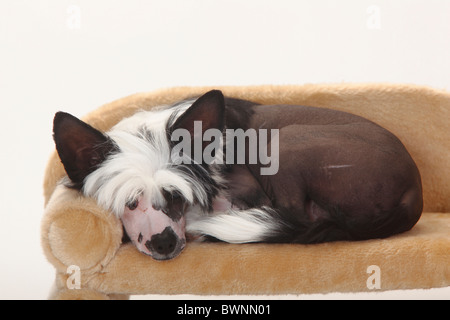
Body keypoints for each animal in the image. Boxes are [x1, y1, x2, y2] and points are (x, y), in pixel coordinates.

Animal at [54, 89, 424, 260]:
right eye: (130, 203)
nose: (164, 242)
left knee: (293, 214)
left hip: (285, 143)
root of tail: (414, 192)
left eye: (177, 197)